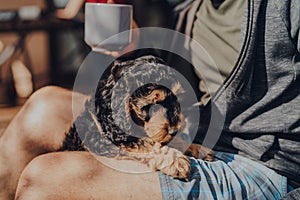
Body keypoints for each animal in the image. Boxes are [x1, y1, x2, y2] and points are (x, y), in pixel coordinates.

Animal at [59, 55, 213, 180]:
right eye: (153, 104)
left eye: (176, 98)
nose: (175, 130)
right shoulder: (109, 138)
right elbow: (146, 143)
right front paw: (175, 160)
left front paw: (198, 148)